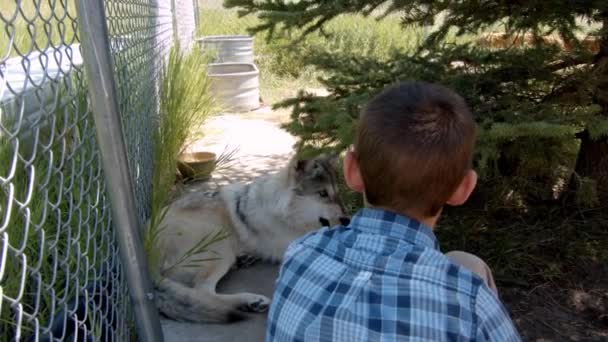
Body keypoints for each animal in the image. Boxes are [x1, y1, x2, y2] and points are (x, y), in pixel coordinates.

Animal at [153, 153, 352, 324]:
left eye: (337, 194)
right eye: (323, 194)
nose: (347, 219)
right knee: (202, 292)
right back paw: (251, 301)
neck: (282, 211)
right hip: (221, 245)